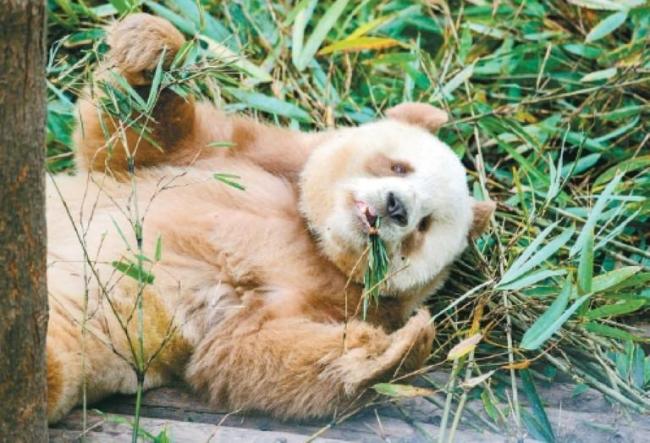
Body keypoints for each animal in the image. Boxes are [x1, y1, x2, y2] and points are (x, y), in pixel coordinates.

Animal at [45, 13, 495, 423]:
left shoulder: (336, 302)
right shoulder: (244, 156)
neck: (315, 238)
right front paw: (152, 51)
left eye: (424, 225)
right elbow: (130, 143)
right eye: (400, 167)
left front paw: (396, 350)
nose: (396, 207)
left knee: (57, 362)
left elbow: (254, 352)